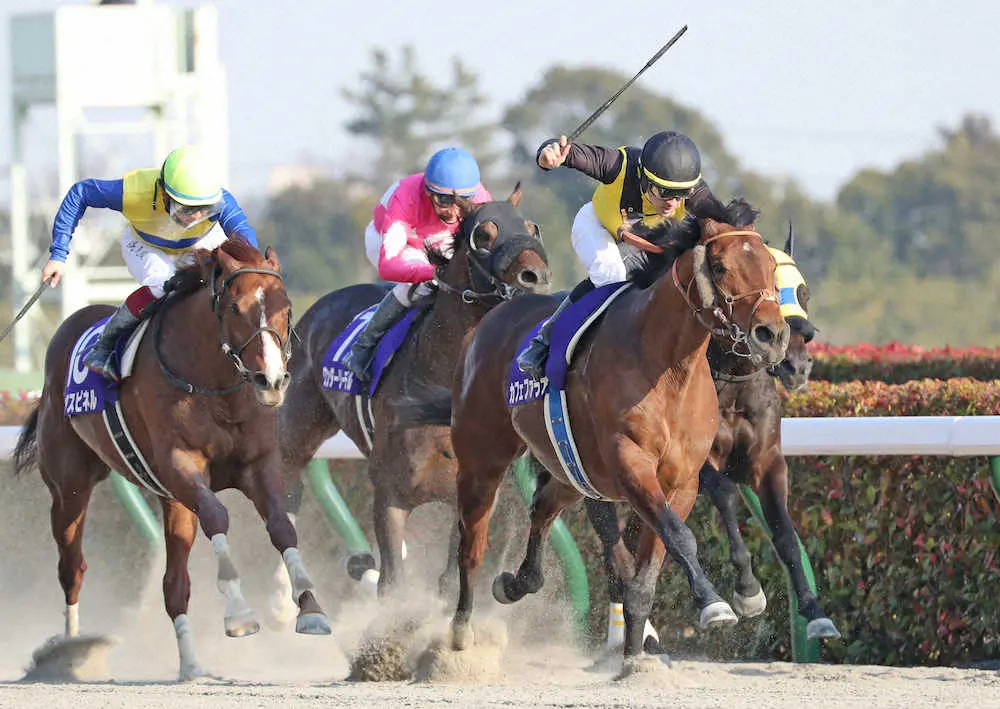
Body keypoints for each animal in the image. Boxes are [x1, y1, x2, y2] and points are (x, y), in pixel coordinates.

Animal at [10, 239, 332, 680]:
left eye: (286, 308)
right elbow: (218, 515)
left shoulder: (258, 464)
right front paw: (239, 613)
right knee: (73, 567)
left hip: (171, 502)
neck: (216, 386)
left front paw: (310, 608)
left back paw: (191, 665)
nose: (271, 381)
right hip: (69, 487)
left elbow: (282, 526)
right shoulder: (181, 465)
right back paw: (70, 653)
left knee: (174, 587)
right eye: (236, 308)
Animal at [278, 187, 552, 596]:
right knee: (283, 490)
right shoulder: (390, 494)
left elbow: (449, 581)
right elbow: (393, 585)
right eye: (485, 235)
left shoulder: (470, 497)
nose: (538, 276)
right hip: (297, 430)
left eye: (532, 227)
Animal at [434, 195, 792, 660]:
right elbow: (680, 539)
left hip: (572, 468)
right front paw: (714, 603)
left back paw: (517, 583)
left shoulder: (682, 480)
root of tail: (491, 318)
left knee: (543, 505)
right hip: (482, 459)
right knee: (471, 545)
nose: (772, 335)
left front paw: (637, 658)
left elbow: (647, 575)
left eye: (769, 263)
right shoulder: (630, 463)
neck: (669, 367)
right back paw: (460, 631)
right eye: (718, 266)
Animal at [584, 227, 840, 652]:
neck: (731, 382)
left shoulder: (767, 458)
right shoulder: (696, 463)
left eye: (802, 292)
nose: (795, 362)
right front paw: (748, 590)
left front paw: (815, 612)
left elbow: (785, 532)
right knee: (610, 540)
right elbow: (724, 492)